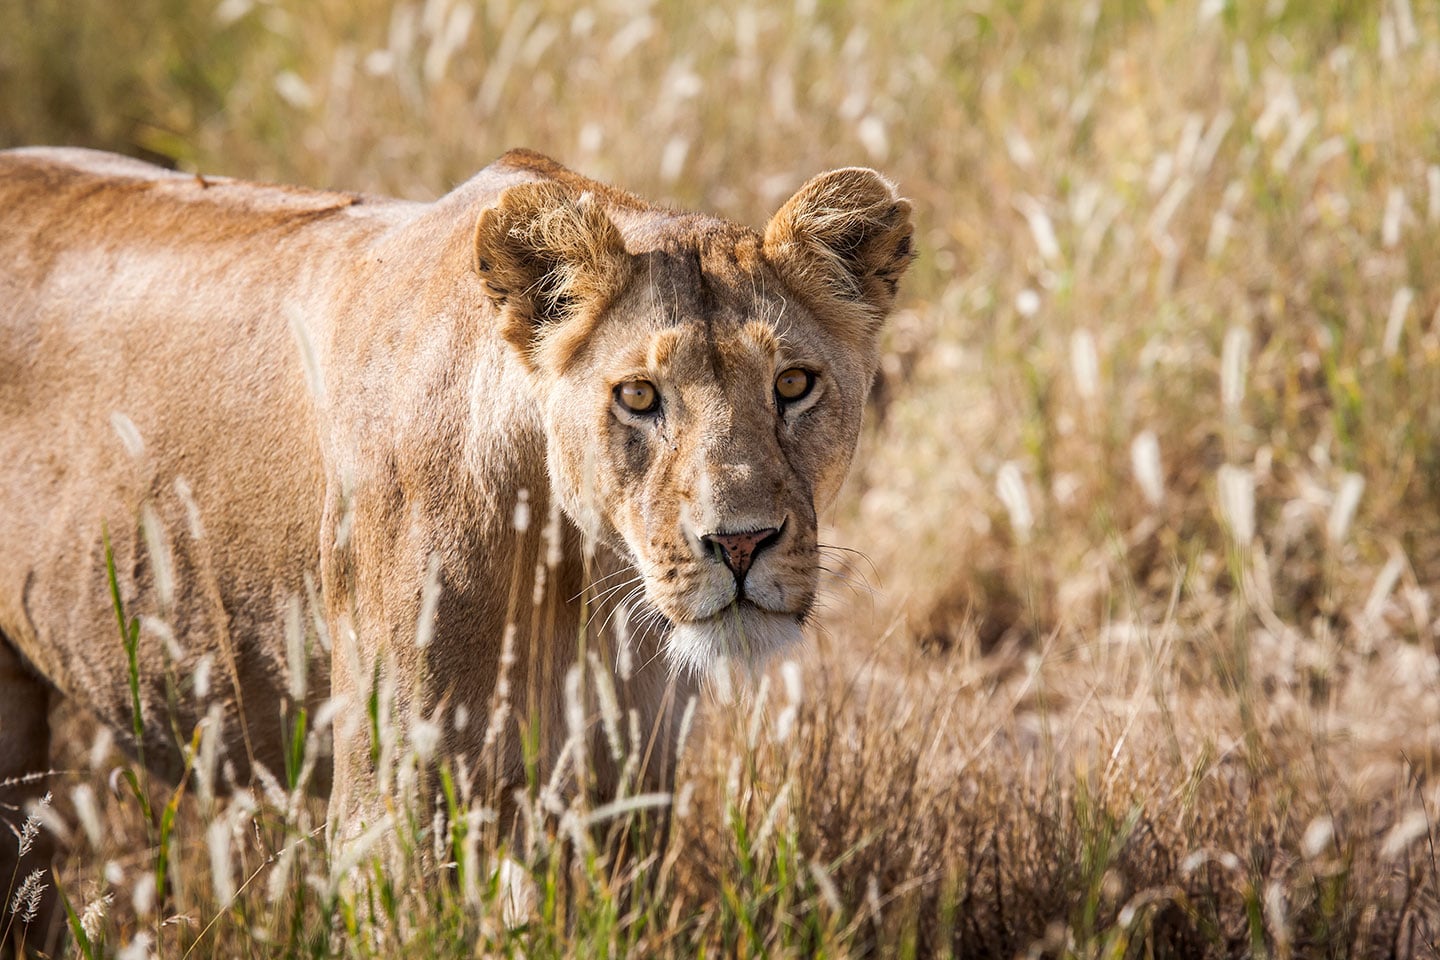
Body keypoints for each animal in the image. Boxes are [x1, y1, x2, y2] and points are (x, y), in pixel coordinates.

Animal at [0, 146, 913, 941]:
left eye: (793, 384)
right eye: (639, 397)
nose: (743, 541)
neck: (574, 572)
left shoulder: (620, 793)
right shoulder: (390, 804)